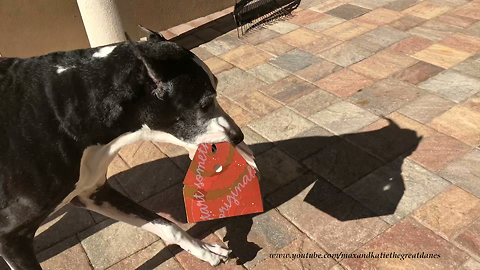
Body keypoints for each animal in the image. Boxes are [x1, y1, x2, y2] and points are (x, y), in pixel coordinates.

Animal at [0, 26, 244, 268]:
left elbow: (167, 226)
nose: (238, 136)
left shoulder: (93, 192)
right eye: (205, 104)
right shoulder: (11, 238)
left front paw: (204, 250)